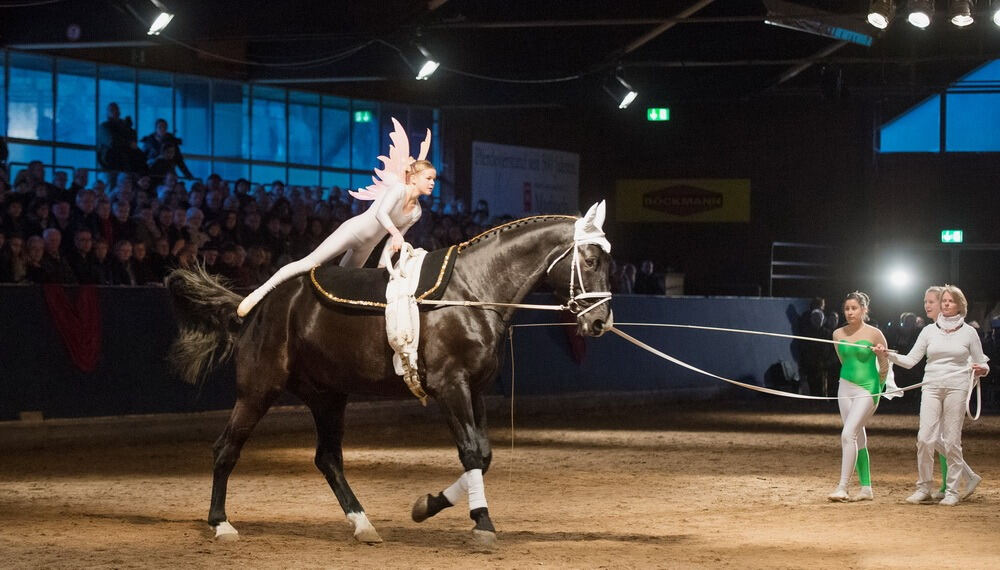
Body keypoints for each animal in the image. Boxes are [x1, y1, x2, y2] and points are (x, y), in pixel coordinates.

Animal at [168, 205, 612, 544]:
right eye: (590, 261)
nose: (600, 323)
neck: (471, 292)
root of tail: (255, 305)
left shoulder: (476, 390)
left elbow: (483, 456)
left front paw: (427, 506)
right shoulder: (451, 387)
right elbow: (470, 453)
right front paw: (482, 522)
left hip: (328, 396)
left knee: (328, 458)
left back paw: (363, 524)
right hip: (259, 389)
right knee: (226, 449)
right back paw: (221, 524)